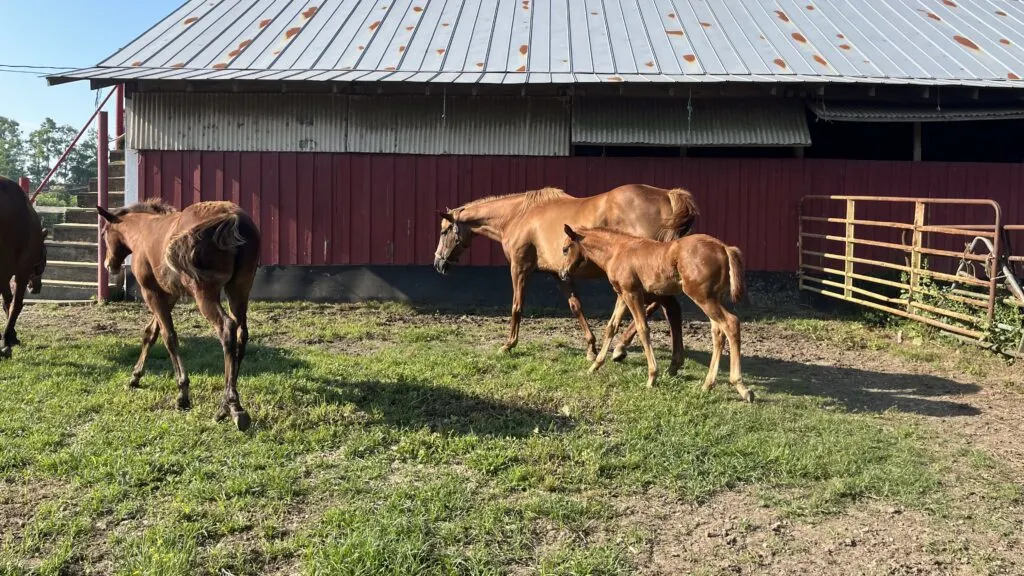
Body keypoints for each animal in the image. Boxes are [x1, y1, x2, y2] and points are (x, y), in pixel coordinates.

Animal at [97, 199, 262, 428]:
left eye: (104, 232)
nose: (108, 265)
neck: (143, 230)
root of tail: (232, 216)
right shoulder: (170, 294)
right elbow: (151, 333)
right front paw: (136, 376)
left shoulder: (151, 292)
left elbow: (169, 337)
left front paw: (182, 394)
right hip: (239, 289)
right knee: (241, 334)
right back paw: (228, 405)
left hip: (204, 292)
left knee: (226, 328)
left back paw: (230, 406)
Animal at [432, 182, 696, 358]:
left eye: (444, 231)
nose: (438, 263)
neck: (518, 215)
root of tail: (668, 196)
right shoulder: (558, 274)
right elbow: (576, 306)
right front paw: (591, 347)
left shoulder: (519, 268)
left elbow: (517, 307)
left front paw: (509, 344)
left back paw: (621, 346)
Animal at [561, 223, 753, 399]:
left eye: (565, 249)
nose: (562, 274)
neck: (617, 251)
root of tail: (725, 248)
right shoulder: (622, 295)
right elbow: (611, 327)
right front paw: (595, 365)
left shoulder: (632, 293)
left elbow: (642, 328)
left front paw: (652, 376)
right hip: (712, 298)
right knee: (718, 332)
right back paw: (708, 384)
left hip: (702, 297)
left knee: (731, 323)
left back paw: (740, 386)